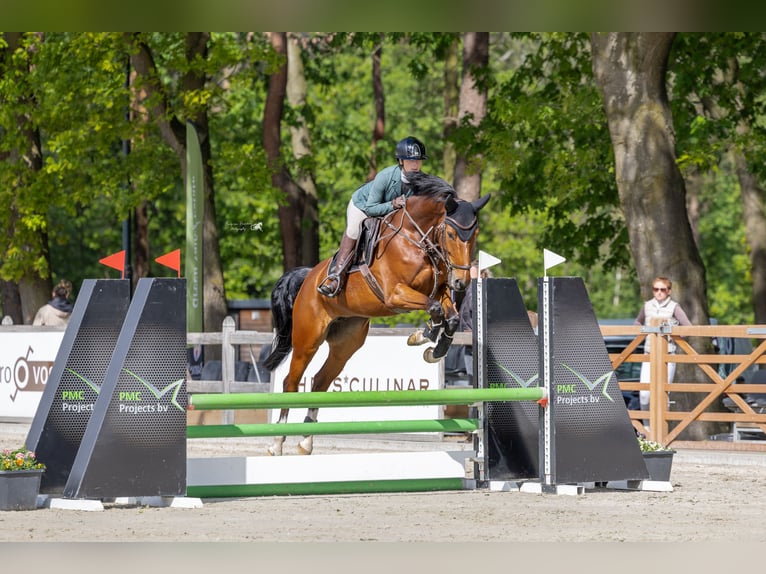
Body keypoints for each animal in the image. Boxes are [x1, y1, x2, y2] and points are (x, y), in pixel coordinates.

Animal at [262, 171, 491, 455]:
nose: (461, 282)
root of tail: (307, 278)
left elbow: (451, 317)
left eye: (475, 233)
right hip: (307, 339)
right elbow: (435, 309)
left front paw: (433, 347)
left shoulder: (439, 291)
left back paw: (306, 440)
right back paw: (277, 442)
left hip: (345, 344)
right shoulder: (396, 294)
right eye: (450, 233)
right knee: (291, 383)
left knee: (319, 381)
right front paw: (423, 336)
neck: (416, 238)